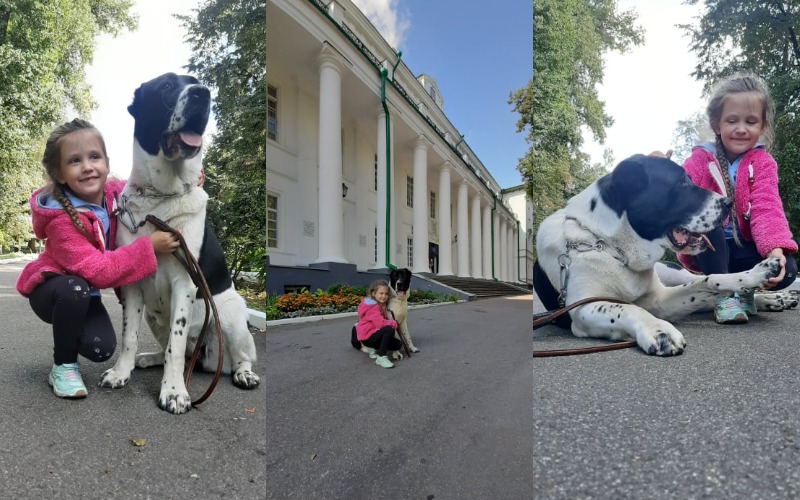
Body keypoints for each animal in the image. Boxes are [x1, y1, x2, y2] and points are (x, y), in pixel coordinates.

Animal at [97, 71, 260, 414]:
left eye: (196, 83)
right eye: (167, 86)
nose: (203, 94)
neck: (160, 198)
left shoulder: (185, 283)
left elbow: (177, 339)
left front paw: (174, 392)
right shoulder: (133, 286)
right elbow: (130, 336)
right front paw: (121, 371)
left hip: (230, 314)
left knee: (240, 357)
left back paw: (244, 374)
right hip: (153, 314)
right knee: (181, 353)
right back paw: (150, 359)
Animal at [536, 155, 780, 356]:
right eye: (682, 182)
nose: (730, 203)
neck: (607, 245)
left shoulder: (658, 299)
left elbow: (710, 280)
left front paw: (752, 275)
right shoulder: (582, 310)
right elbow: (626, 308)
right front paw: (658, 330)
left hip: (675, 273)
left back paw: (769, 295)